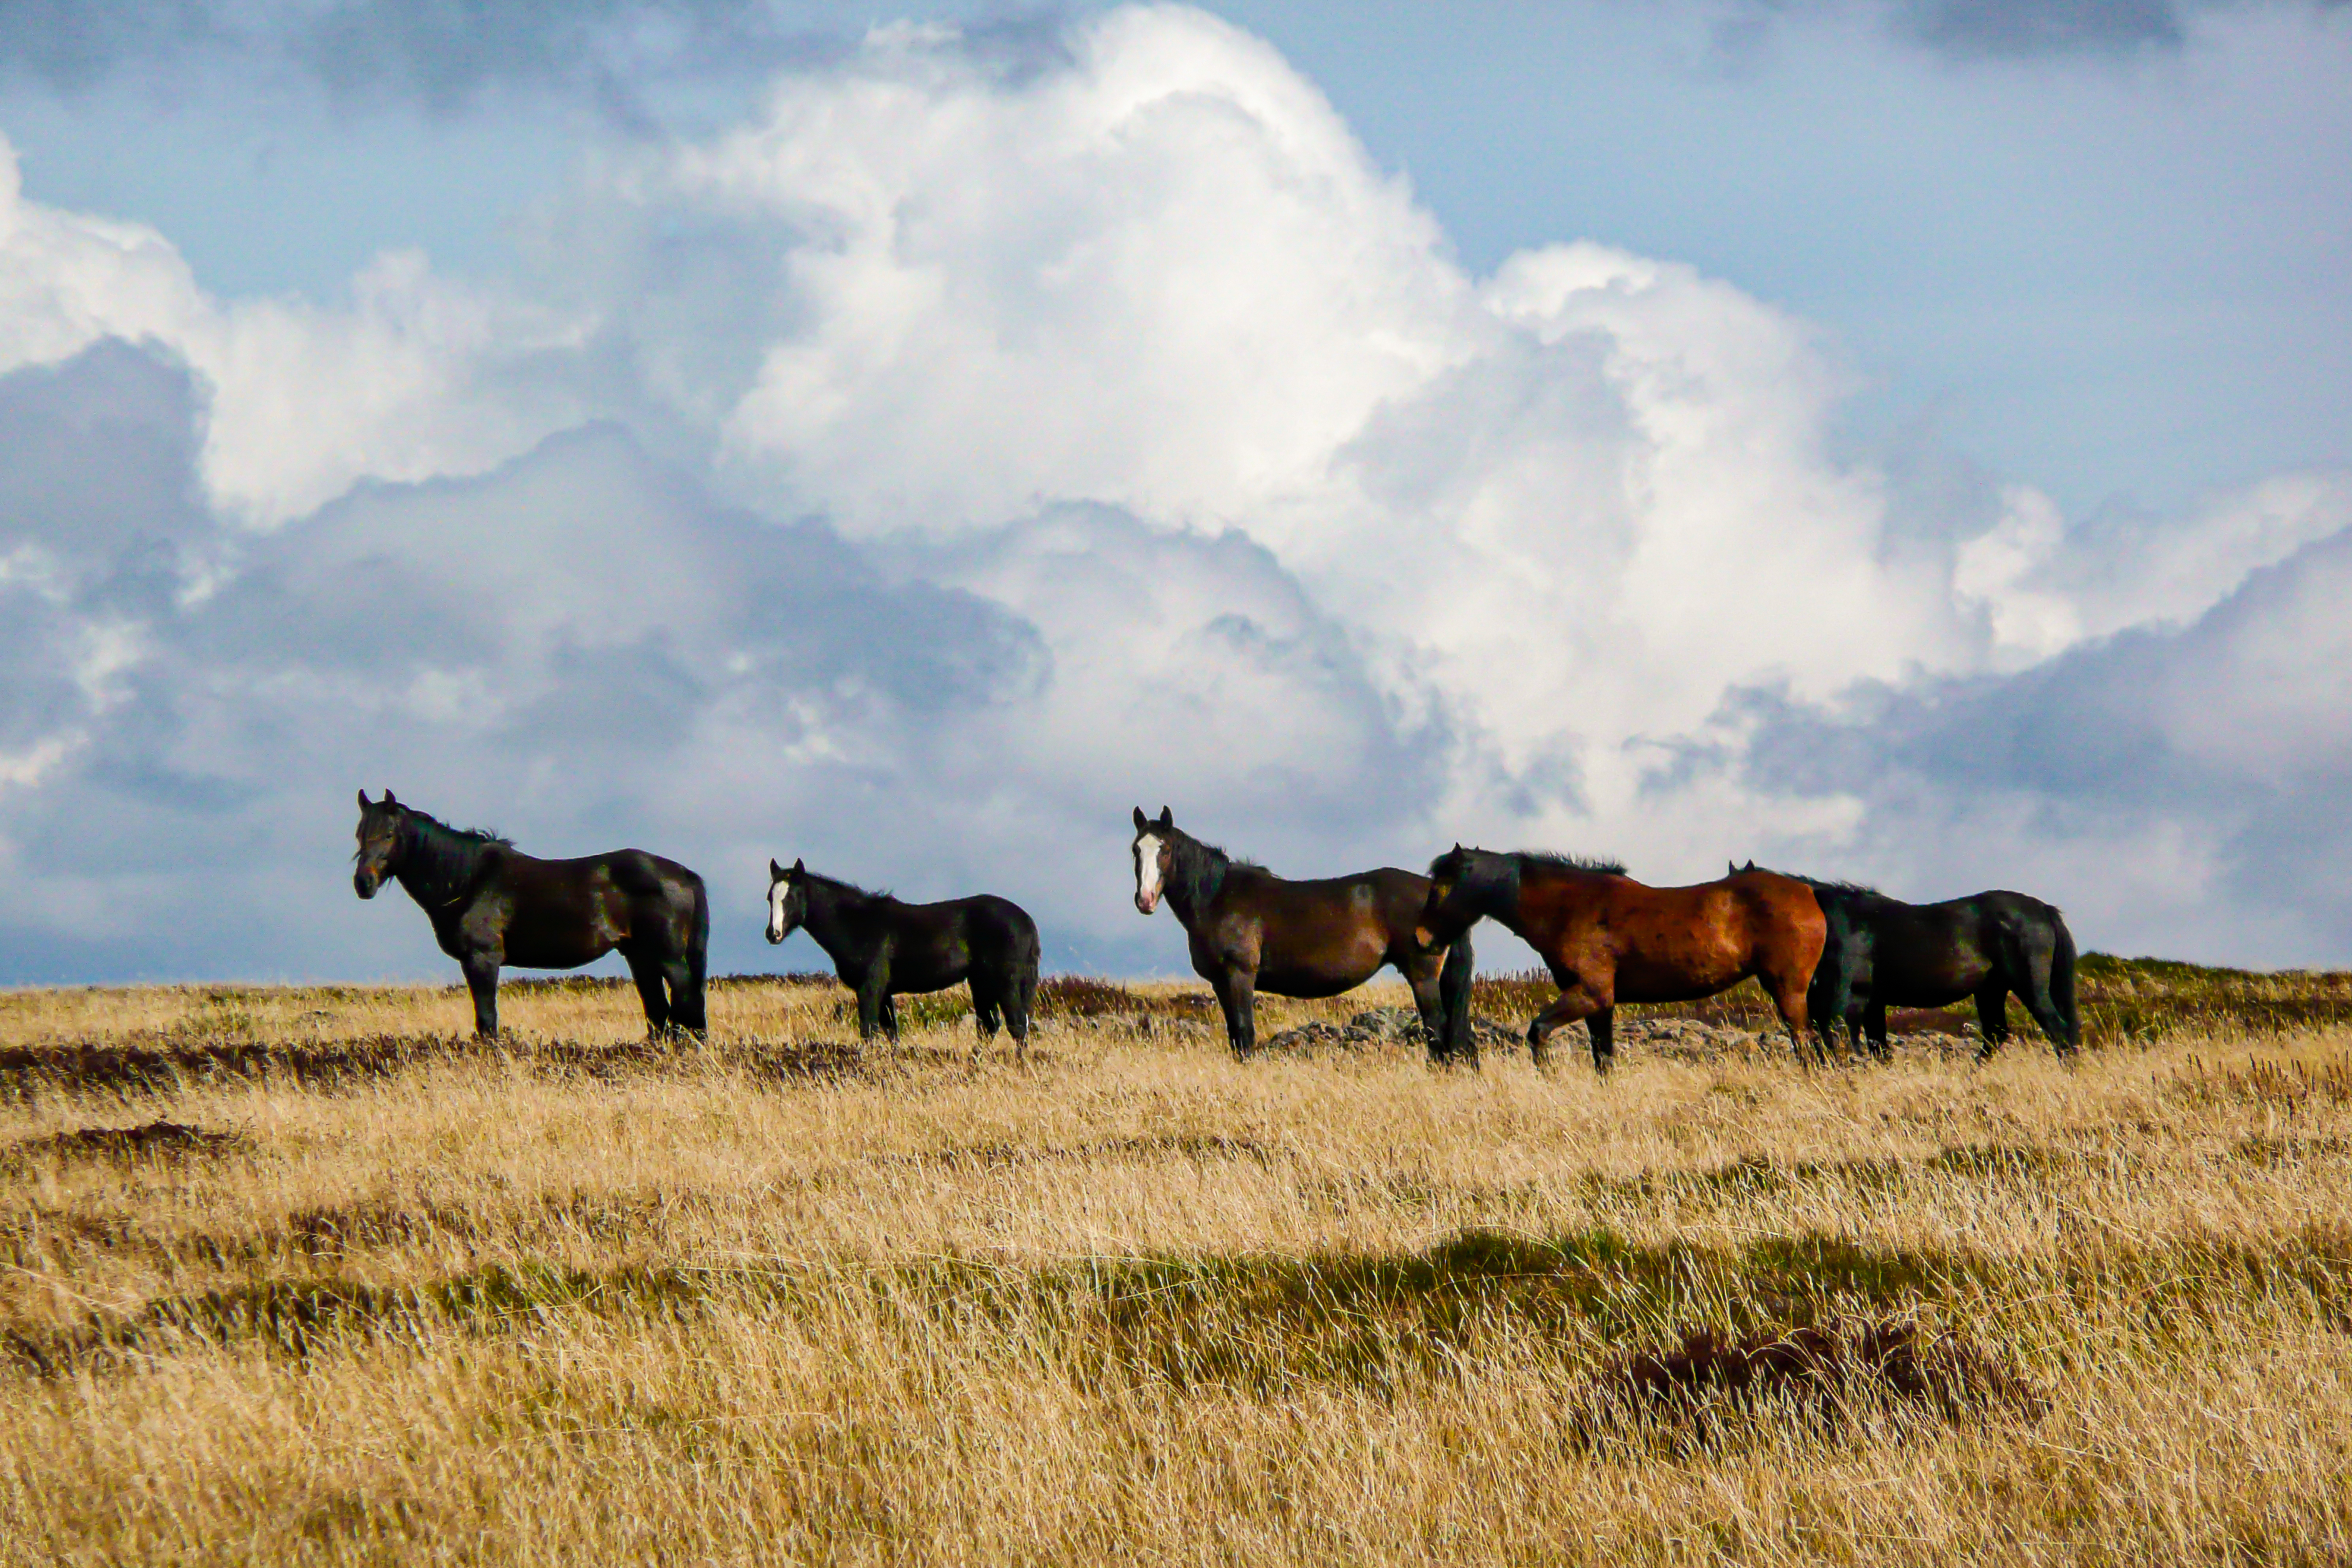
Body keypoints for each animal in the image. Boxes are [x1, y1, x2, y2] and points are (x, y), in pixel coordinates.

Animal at [343, 785, 701, 1043]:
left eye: (389, 834)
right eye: (359, 834)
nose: (364, 883)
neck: (470, 880)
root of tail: (681, 873)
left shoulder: (483, 959)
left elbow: (487, 1019)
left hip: (667, 958)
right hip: (640, 957)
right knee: (658, 1011)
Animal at [766, 860, 1044, 1067]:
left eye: (793, 896)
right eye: (770, 897)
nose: (773, 934)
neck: (859, 925)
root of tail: (1026, 920)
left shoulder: (870, 987)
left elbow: (869, 1031)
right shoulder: (884, 992)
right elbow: (891, 1033)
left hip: (1005, 982)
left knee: (1017, 1025)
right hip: (982, 983)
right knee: (990, 1025)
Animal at [1119, 808, 1468, 1067]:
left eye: (1165, 849)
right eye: (1136, 850)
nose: (1145, 900)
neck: (1218, 897)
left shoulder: (1240, 975)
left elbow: (1245, 1033)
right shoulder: (1220, 983)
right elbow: (1234, 1035)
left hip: (1422, 975)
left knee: (1438, 1026)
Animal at [1402, 846, 1825, 1081]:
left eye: (1441, 888)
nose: (1420, 938)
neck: (1572, 907)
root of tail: (1808, 892)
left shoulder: (1591, 994)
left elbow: (1538, 1032)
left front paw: (1550, 1079)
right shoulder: (1600, 1004)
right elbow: (1603, 1057)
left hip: (1787, 988)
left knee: (1805, 1042)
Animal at [1731, 860, 2079, 1067]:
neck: (1835, 922)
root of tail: (2043, 909)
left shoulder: (1846, 999)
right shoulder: (1871, 1002)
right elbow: (1877, 1047)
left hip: (2027, 987)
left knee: (2058, 1031)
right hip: (1990, 991)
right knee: (1997, 1035)